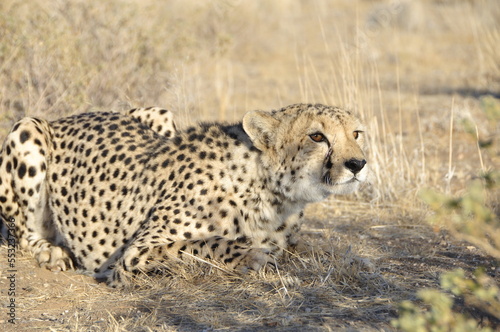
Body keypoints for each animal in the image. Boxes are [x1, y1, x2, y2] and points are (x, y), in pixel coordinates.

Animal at [0, 103, 368, 286]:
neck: (272, 193)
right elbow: (199, 244)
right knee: (23, 232)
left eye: (356, 133)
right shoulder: (132, 256)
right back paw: (50, 253)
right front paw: (252, 256)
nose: (358, 164)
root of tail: (71, 116)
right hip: (27, 129)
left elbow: (303, 247)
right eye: (317, 136)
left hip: (158, 112)